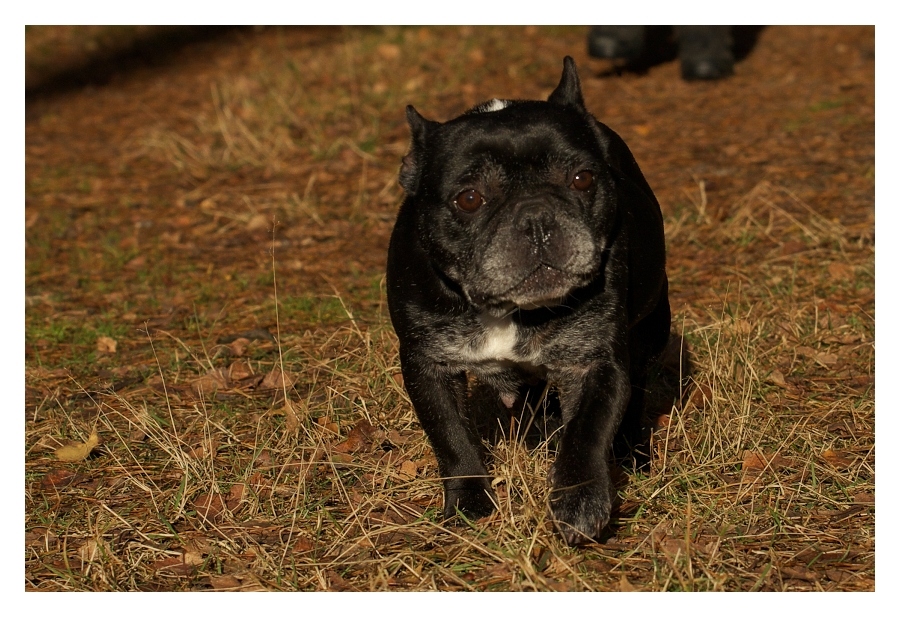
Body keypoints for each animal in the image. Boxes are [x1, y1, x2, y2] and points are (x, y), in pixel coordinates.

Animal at [386, 55, 668, 540]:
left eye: (583, 178)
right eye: (469, 198)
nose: (537, 217)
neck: (507, 311)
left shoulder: (594, 362)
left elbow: (587, 432)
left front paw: (579, 501)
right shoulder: (428, 365)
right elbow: (451, 437)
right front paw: (469, 502)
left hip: (652, 329)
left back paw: (631, 452)